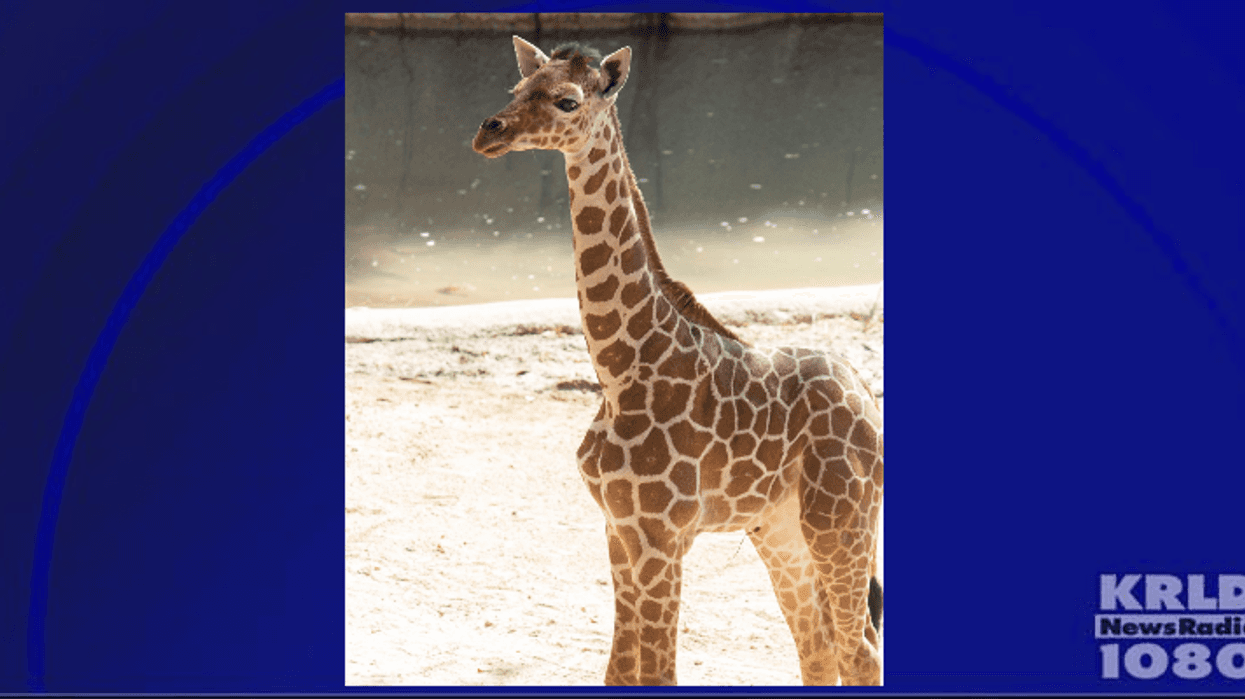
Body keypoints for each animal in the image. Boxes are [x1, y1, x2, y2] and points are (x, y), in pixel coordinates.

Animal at [473, 37, 883, 686]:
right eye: (517, 89)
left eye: (567, 100)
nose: (489, 132)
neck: (620, 369)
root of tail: (866, 396)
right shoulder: (619, 529)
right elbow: (620, 674)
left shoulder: (664, 536)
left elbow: (659, 673)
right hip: (781, 530)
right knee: (819, 649)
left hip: (839, 520)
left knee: (859, 649)